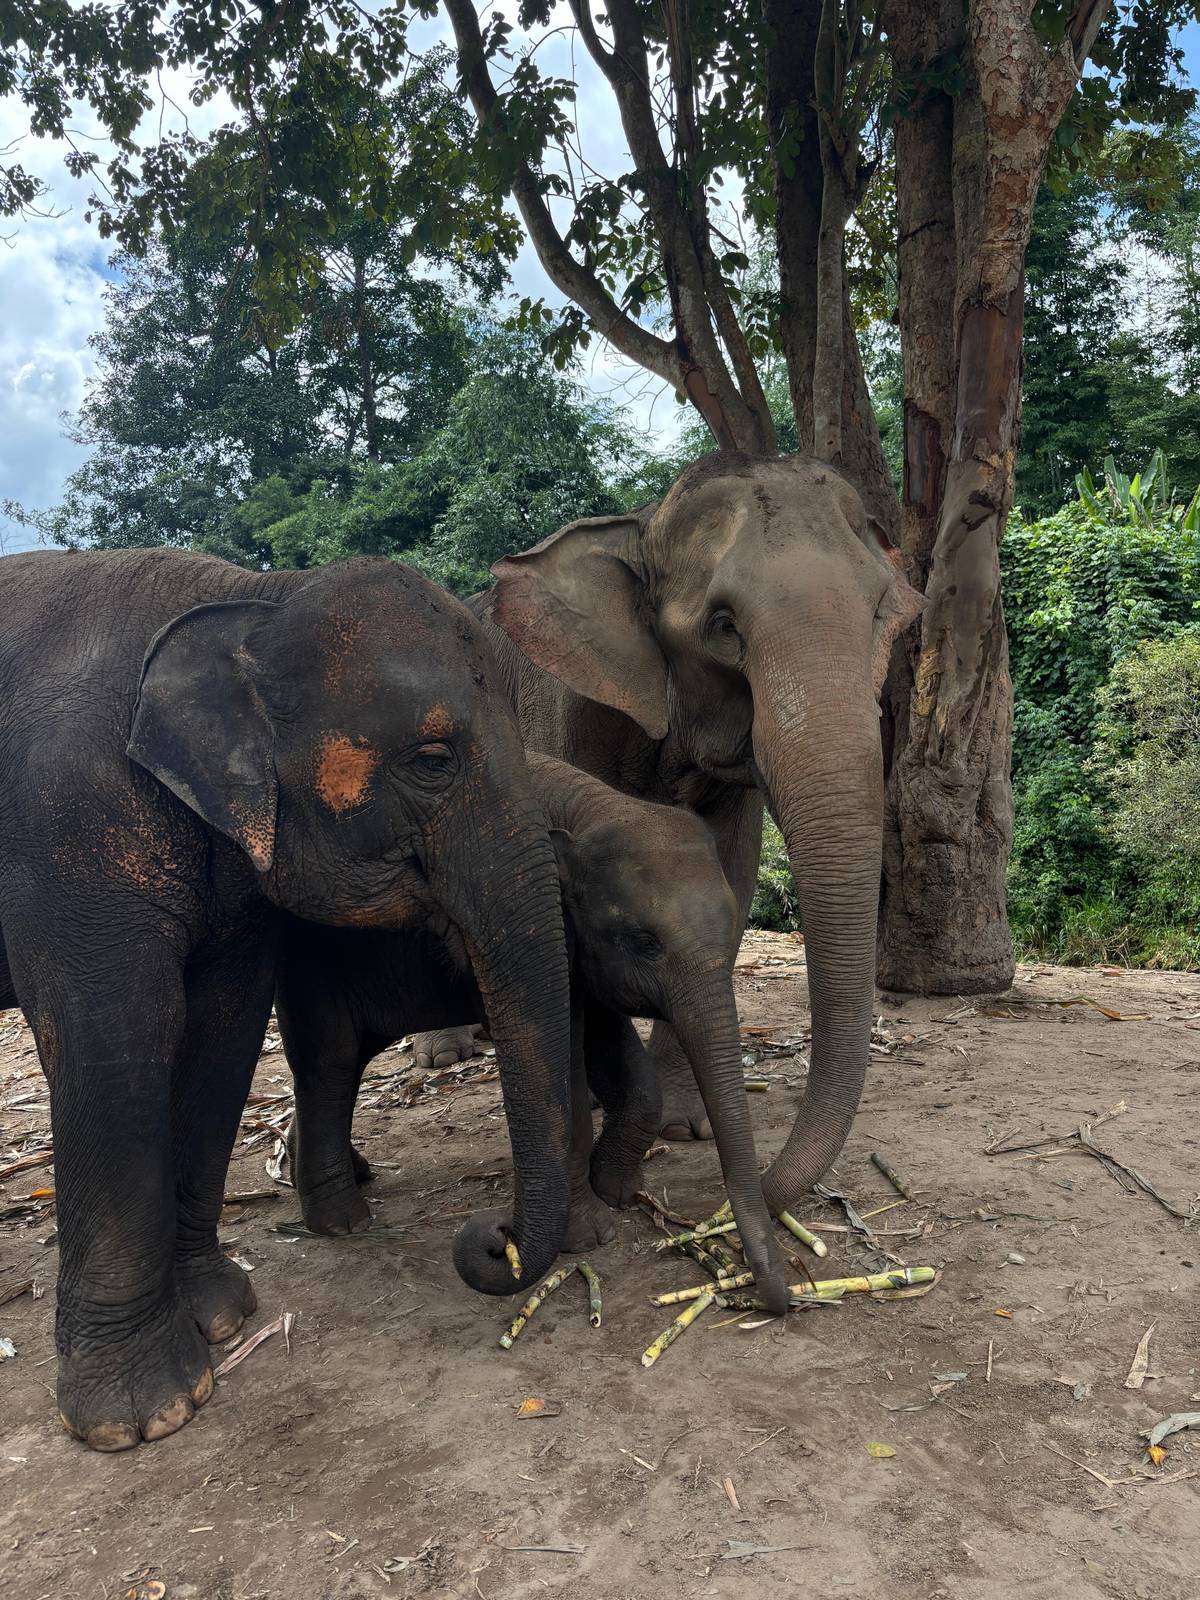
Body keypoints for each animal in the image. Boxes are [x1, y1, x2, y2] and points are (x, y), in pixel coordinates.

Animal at [0, 548, 572, 1451]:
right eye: (433, 759)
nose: (497, 1238)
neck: (254, 598)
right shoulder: (65, 824)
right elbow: (113, 1035)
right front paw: (144, 1415)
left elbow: (222, 1030)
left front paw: (223, 1317)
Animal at [278, 750, 789, 1313]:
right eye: (644, 941)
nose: (778, 1300)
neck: (597, 807)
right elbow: (564, 1060)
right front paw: (589, 1237)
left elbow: (617, 1053)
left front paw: (619, 1192)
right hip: (308, 962)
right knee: (330, 1061)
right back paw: (342, 1222)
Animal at [476, 451, 926, 1216]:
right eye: (723, 625)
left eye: (877, 614)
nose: (750, 1194)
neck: (643, 524)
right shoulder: (575, 706)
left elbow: (732, 873)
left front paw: (684, 1125)